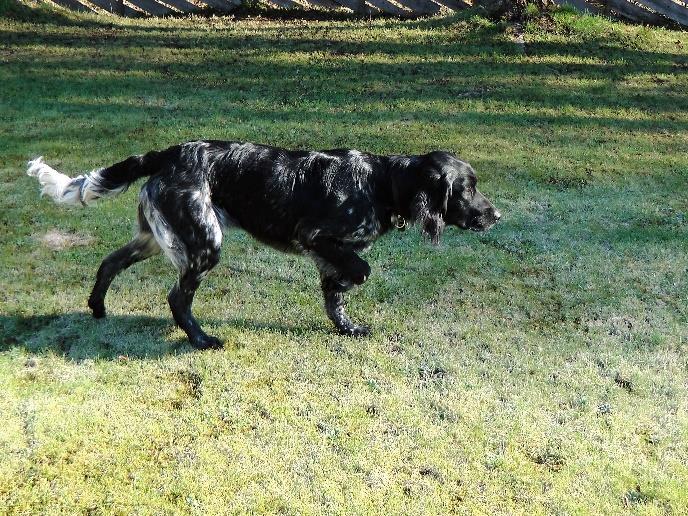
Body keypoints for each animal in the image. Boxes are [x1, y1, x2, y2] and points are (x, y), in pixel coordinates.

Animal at [26, 141, 500, 348]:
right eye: (468, 189)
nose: (495, 215)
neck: (382, 183)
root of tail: (171, 153)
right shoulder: (317, 237)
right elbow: (359, 271)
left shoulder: (327, 252)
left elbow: (336, 297)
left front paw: (347, 328)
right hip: (204, 242)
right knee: (177, 298)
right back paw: (201, 340)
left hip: (153, 238)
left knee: (108, 263)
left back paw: (98, 309)